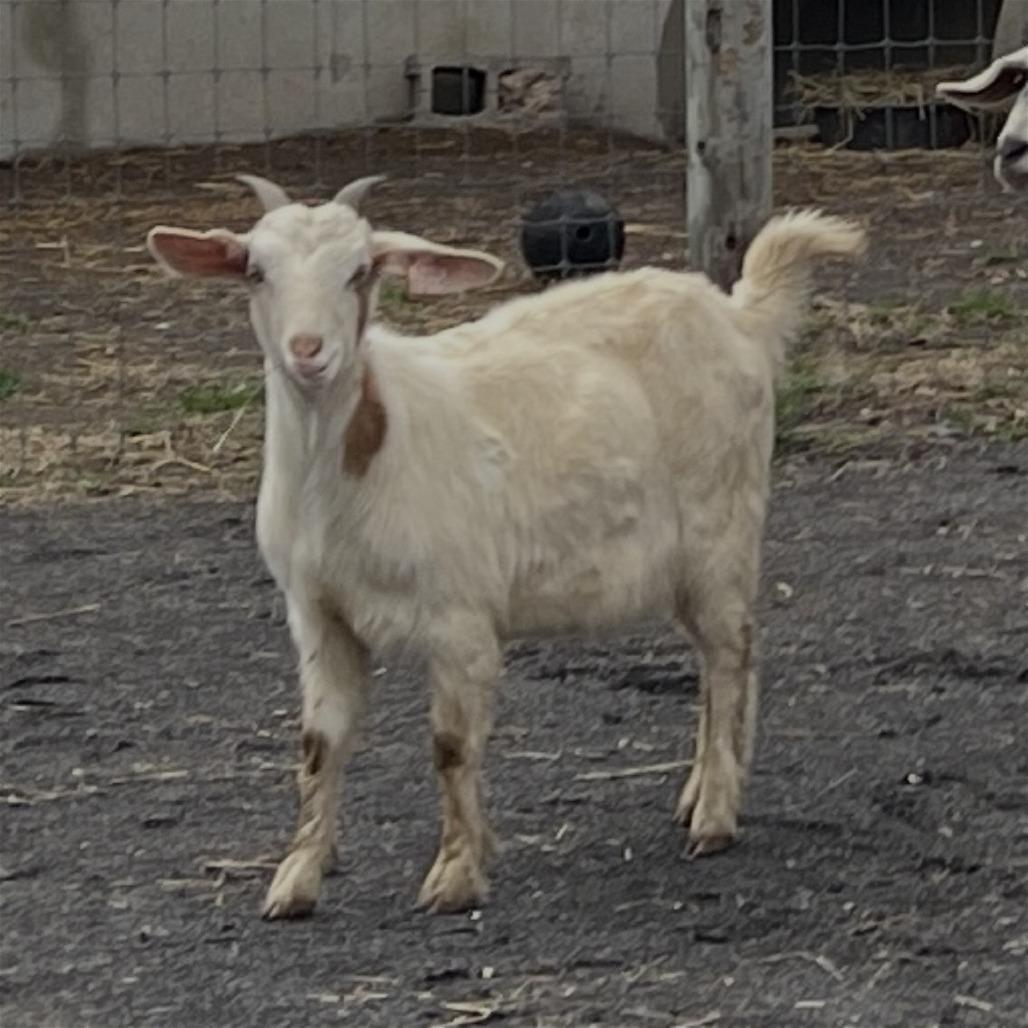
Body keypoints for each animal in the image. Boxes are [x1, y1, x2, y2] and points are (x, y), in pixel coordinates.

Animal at [146, 178, 865, 919]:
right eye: (256, 272)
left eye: (360, 272)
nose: (309, 349)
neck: (358, 459)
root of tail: (739, 315)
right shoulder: (318, 614)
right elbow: (320, 744)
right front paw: (296, 880)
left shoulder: (459, 616)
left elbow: (451, 746)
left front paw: (456, 874)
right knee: (720, 660)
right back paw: (701, 793)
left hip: (720, 529)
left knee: (730, 655)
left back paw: (716, 817)